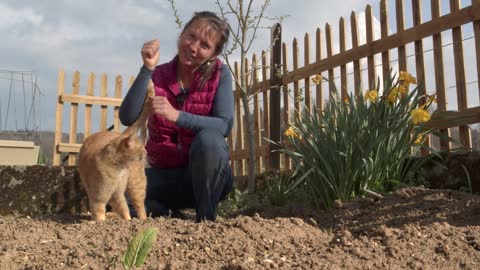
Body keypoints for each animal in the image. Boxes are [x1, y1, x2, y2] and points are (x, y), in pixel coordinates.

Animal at [78, 79, 154, 220]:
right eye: (141, 148)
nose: (146, 152)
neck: (119, 169)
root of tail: (119, 133)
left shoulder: (117, 194)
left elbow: (125, 211)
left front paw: (127, 221)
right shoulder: (100, 197)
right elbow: (101, 213)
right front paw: (101, 222)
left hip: (136, 185)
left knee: (140, 207)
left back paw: (142, 220)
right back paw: (112, 215)